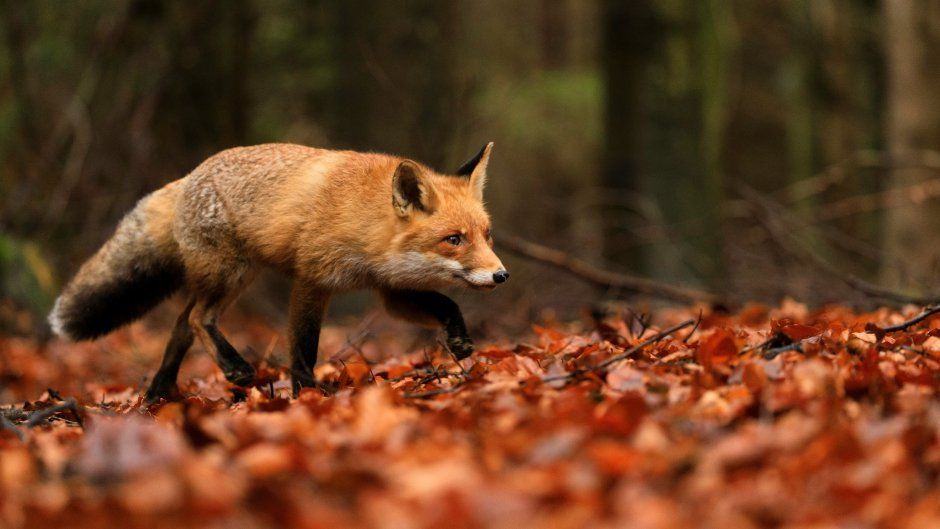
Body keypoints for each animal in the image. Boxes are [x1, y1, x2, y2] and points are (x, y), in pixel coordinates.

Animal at [47, 142, 510, 402]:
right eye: (454, 239)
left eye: (487, 235)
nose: (501, 275)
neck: (364, 220)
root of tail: (188, 176)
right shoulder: (312, 279)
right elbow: (303, 348)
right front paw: (306, 396)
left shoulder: (389, 289)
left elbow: (446, 303)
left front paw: (459, 339)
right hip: (230, 274)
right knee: (196, 318)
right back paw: (234, 369)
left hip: (231, 277)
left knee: (180, 323)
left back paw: (159, 395)